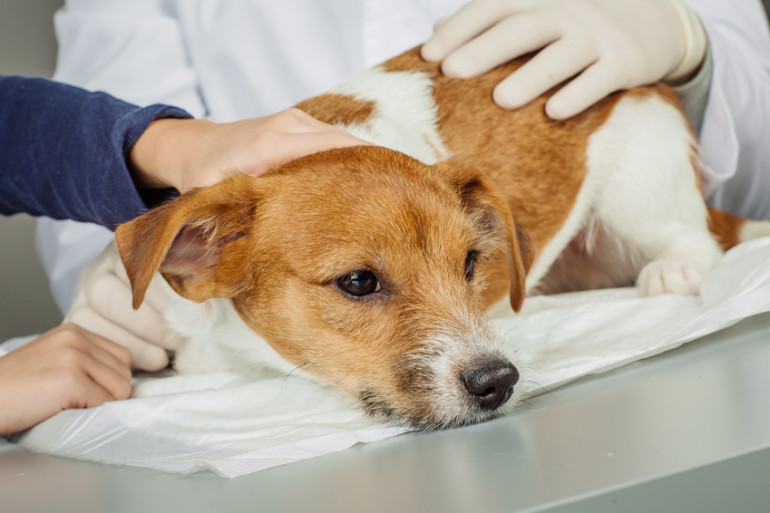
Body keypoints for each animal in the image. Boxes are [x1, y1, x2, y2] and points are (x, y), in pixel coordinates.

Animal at [76, 47, 760, 428]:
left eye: (471, 262)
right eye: (358, 282)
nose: (497, 381)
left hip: (641, 182)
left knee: (695, 238)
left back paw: (675, 267)